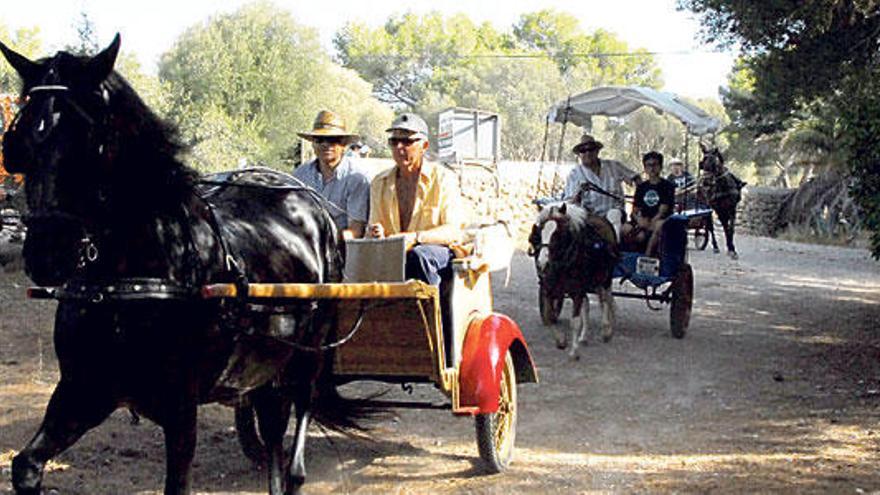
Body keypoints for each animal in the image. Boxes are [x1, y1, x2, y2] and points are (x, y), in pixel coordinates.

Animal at [1, 35, 358, 495]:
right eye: (19, 146)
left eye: (91, 143)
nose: (48, 252)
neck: (128, 283)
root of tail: (304, 195)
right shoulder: (84, 390)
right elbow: (25, 466)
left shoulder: (180, 407)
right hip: (266, 361)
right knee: (273, 426)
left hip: (308, 351)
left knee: (299, 417)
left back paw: (296, 470)